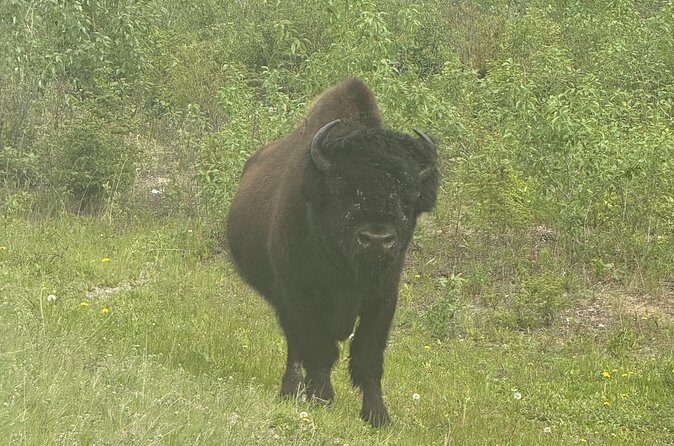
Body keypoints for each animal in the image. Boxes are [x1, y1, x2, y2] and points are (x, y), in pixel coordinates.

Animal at [226, 78, 438, 426]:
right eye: (344, 192)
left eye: (407, 198)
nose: (377, 239)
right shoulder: (303, 295)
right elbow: (318, 348)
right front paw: (322, 397)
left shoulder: (382, 297)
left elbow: (368, 356)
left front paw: (377, 415)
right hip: (282, 298)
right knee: (295, 346)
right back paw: (291, 390)